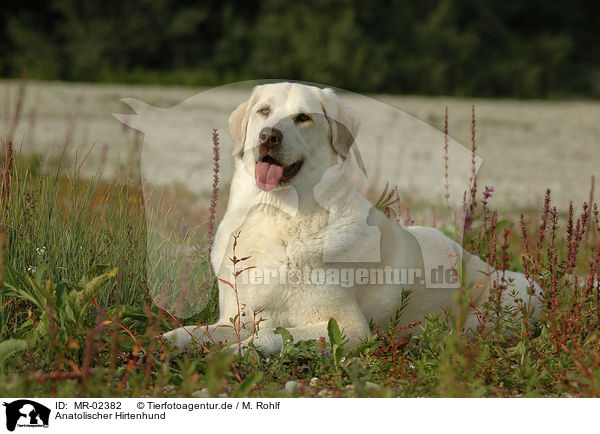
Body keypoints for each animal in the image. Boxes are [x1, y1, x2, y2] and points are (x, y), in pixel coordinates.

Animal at [163, 82, 540, 356]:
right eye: (264, 111)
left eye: (303, 118)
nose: (268, 135)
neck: (276, 213)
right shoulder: (233, 318)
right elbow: (205, 331)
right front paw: (173, 338)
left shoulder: (348, 328)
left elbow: (274, 332)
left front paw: (240, 351)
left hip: (508, 300)